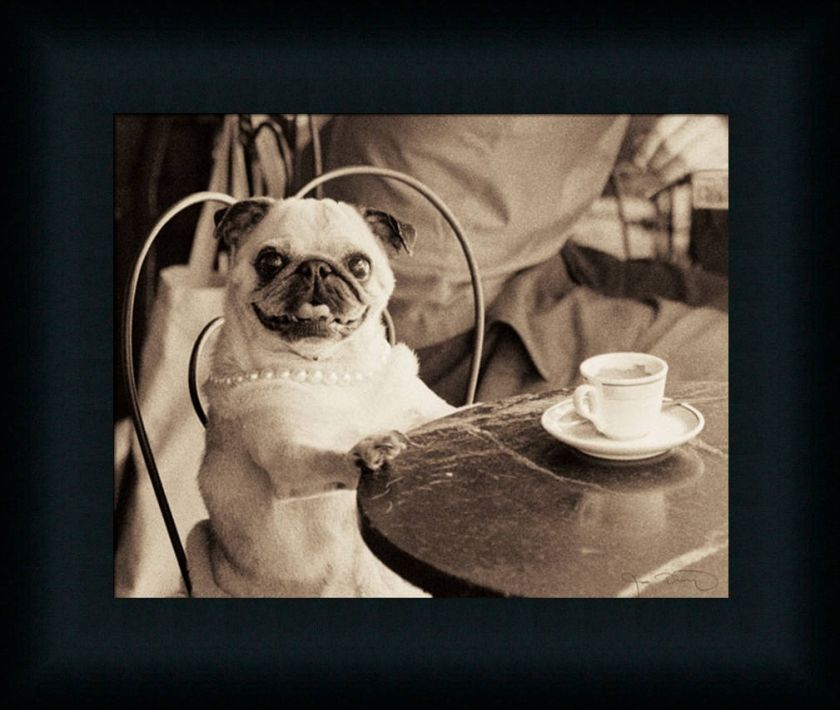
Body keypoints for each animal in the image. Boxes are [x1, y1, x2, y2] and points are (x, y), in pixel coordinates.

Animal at [188, 197, 456, 596]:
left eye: (359, 265)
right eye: (270, 261)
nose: (316, 267)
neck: (332, 373)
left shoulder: (435, 412)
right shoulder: (287, 457)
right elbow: (323, 458)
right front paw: (362, 454)